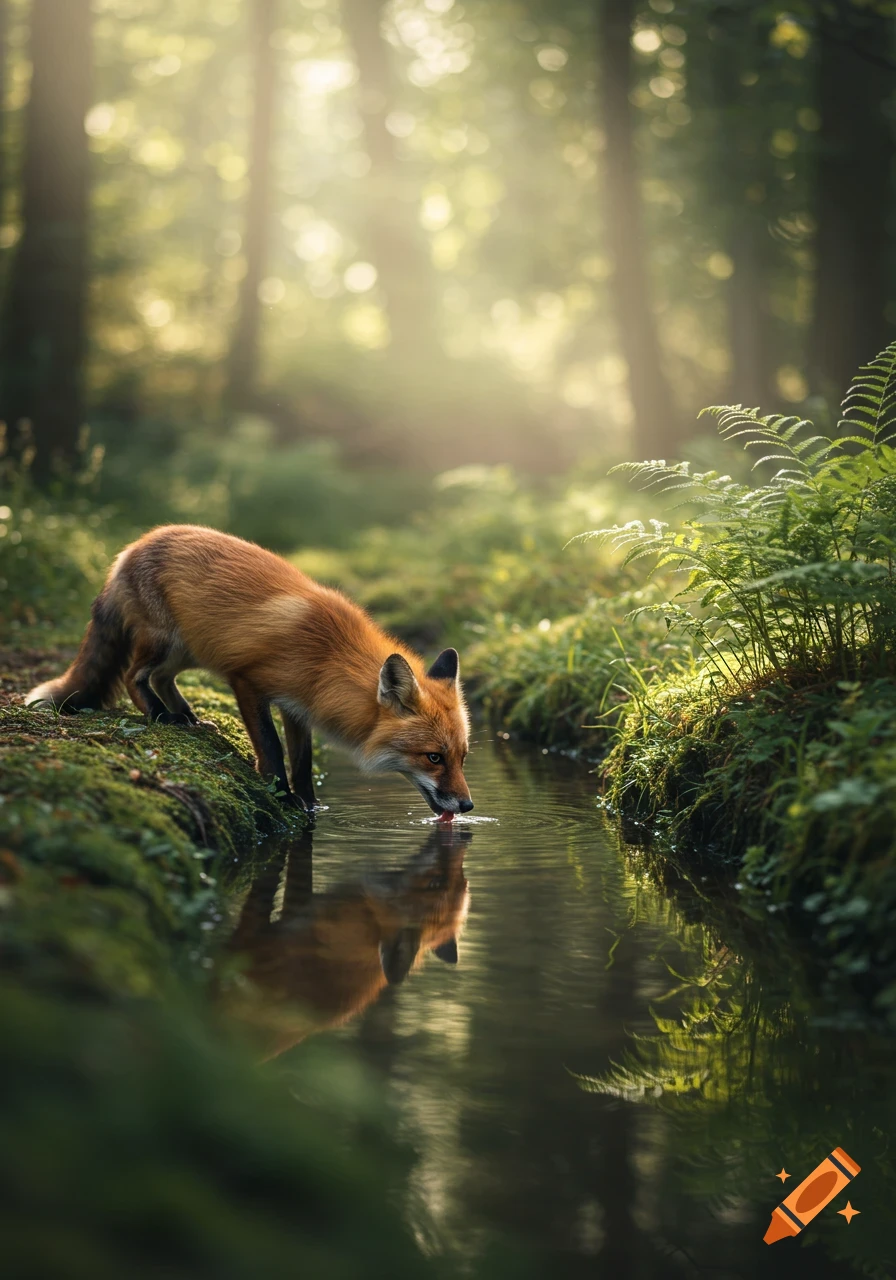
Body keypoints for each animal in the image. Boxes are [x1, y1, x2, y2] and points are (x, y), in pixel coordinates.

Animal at [25, 524, 473, 816]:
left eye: (462, 757)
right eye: (434, 758)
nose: (468, 805)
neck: (328, 659)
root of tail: (131, 548)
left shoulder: (298, 706)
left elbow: (303, 761)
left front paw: (311, 805)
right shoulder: (248, 681)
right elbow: (271, 747)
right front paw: (282, 796)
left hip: (192, 649)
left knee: (161, 678)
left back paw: (188, 717)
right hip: (166, 641)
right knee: (135, 677)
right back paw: (160, 715)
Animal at [225, 826, 470, 1059]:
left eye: (460, 878)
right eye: (437, 883)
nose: (463, 840)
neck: (367, 919)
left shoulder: (259, 939)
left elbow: (266, 884)